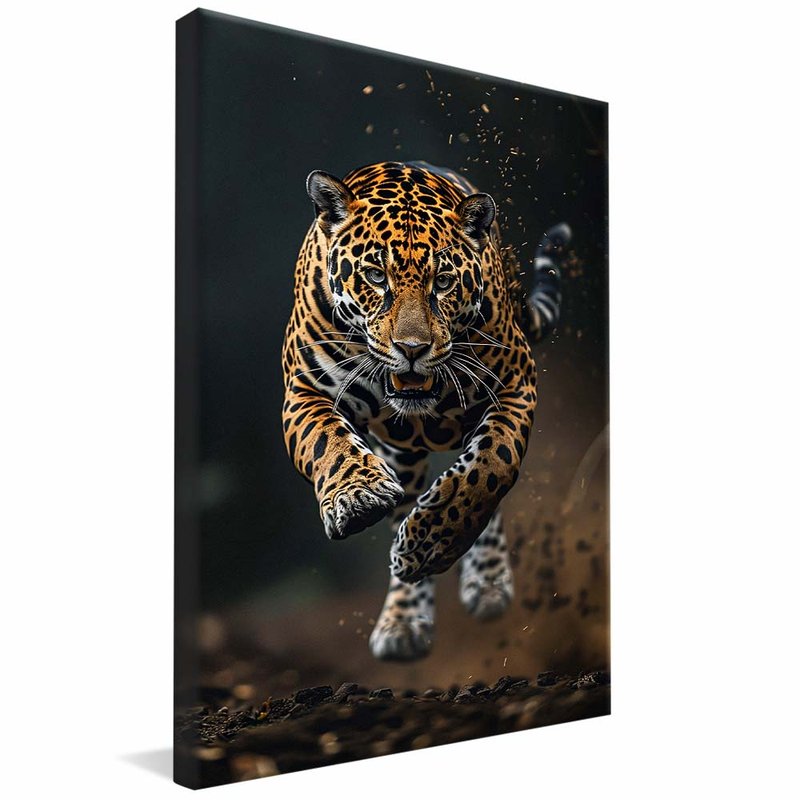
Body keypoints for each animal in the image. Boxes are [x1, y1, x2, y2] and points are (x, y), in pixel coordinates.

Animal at [281, 160, 568, 661]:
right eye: (376, 276)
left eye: (444, 281)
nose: (412, 349)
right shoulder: (303, 390)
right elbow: (328, 443)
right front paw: (358, 498)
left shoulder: (515, 385)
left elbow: (489, 469)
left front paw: (429, 545)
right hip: (400, 455)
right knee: (404, 502)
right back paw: (402, 621)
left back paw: (486, 582)